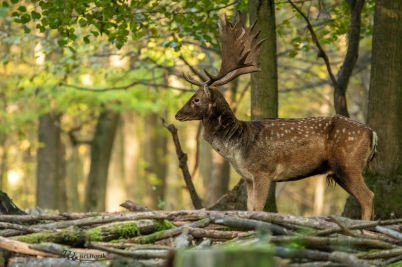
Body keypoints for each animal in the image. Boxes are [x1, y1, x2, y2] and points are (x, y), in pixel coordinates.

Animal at [175, 11, 376, 221]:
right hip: (340, 171)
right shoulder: (248, 177)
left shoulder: (263, 170)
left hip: (348, 163)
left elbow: (258, 208)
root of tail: (372, 132)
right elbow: (248, 207)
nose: (177, 114)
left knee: (368, 196)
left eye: (196, 99)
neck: (237, 148)